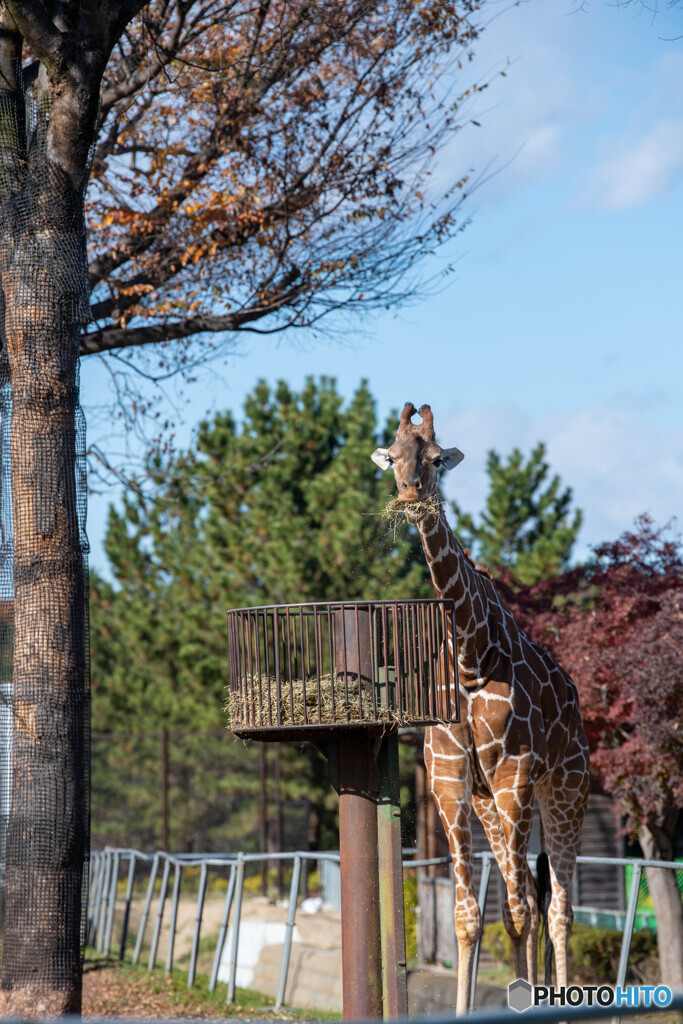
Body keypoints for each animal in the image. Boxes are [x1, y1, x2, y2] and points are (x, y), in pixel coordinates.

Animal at [370, 401, 589, 1015]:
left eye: (437, 458)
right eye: (393, 455)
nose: (411, 492)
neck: (471, 653)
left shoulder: (514, 772)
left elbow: (518, 911)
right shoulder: (448, 776)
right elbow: (470, 917)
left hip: (564, 788)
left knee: (555, 907)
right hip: (491, 800)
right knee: (532, 900)